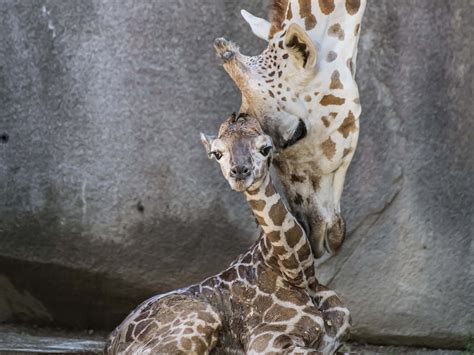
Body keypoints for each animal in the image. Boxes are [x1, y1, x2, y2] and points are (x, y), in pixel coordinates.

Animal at [104, 114, 348, 355]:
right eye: (217, 153)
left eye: (265, 148)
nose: (240, 172)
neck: (298, 272)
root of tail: (112, 342)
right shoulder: (267, 342)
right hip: (202, 319)